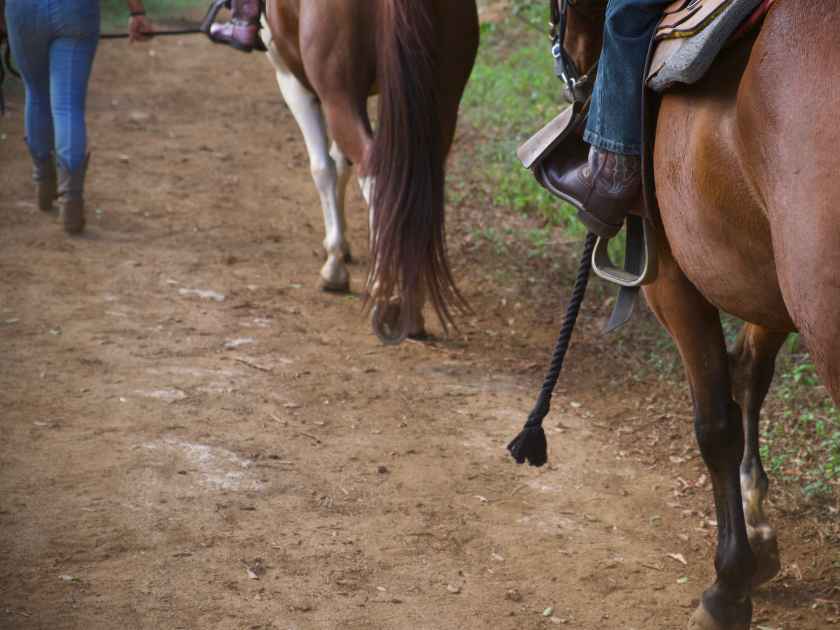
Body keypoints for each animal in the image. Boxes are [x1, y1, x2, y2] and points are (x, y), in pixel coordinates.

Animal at [556, 1, 836, 630]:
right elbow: (750, 371)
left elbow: (715, 423)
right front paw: (758, 532)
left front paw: (728, 587)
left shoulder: (672, 280)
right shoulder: (765, 277)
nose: (579, 69)